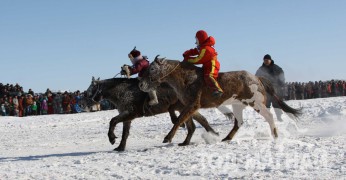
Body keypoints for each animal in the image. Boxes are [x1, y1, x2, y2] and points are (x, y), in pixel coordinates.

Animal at [84, 76, 219, 151]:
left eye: (92, 88)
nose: (89, 101)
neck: (122, 91)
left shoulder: (131, 113)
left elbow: (113, 121)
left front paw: (112, 138)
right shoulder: (127, 117)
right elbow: (124, 134)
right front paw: (120, 148)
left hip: (185, 108)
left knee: (189, 123)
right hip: (185, 108)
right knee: (197, 123)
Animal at [139, 56, 302, 143]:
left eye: (152, 68)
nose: (141, 84)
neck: (185, 79)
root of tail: (257, 78)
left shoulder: (193, 104)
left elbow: (180, 120)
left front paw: (168, 138)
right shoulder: (187, 105)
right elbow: (187, 119)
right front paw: (185, 141)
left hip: (255, 102)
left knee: (269, 116)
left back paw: (275, 135)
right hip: (238, 105)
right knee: (238, 122)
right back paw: (227, 138)